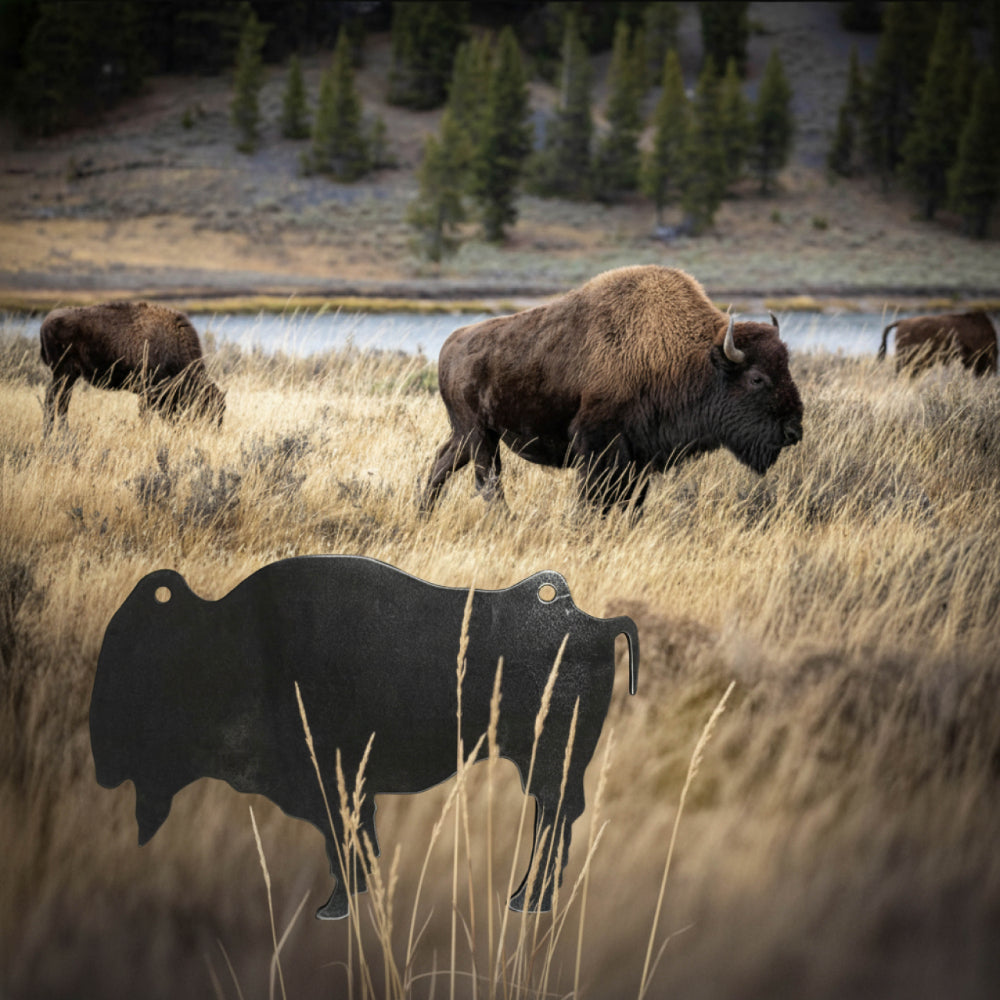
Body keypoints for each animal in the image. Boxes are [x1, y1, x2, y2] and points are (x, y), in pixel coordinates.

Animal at [40, 301, 225, 433]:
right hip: (63, 373)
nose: (214, 433)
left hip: (67, 376)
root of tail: (45, 322)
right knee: (54, 401)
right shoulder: (148, 392)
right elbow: (146, 416)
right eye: (206, 408)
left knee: (60, 403)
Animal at [421, 266, 803, 515]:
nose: (793, 431)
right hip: (480, 435)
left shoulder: (641, 454)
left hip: (469, 434)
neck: (690, 356)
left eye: (786, 367)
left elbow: (631, 501)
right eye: (757, 378)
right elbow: (594, 498)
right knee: (488, 482)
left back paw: (423, 514)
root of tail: (450, 345)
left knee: (443, 462)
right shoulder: (599, 445)